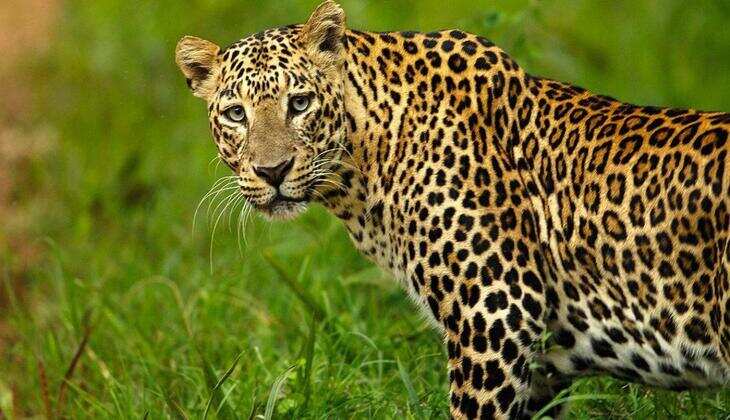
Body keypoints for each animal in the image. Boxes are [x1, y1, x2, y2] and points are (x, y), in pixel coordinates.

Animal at [175, 1, 730, 418]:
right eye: (236, 113)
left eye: (300, 103)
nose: (272, 170)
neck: (362, 166)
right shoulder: (540, 362)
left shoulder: (496, 311)